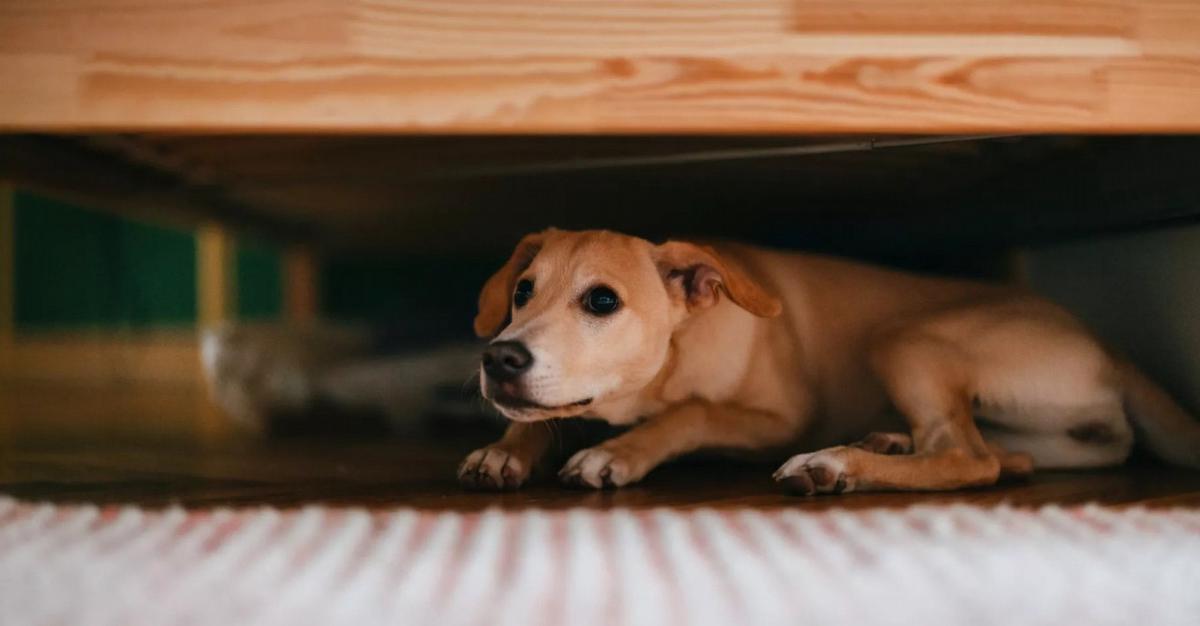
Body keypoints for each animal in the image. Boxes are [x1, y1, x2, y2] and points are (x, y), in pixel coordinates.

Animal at [456, 227, 1200, 491]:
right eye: (522, 292)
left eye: (602, 301)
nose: (500, 359)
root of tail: (1110, 349)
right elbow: (543, 416)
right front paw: (506, 449)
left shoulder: (778, 418)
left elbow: (692, 414)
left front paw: (619, 452)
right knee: (997, 454)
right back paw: (884, 443)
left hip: (904, 337)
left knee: (969, 458)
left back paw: (837, 464)